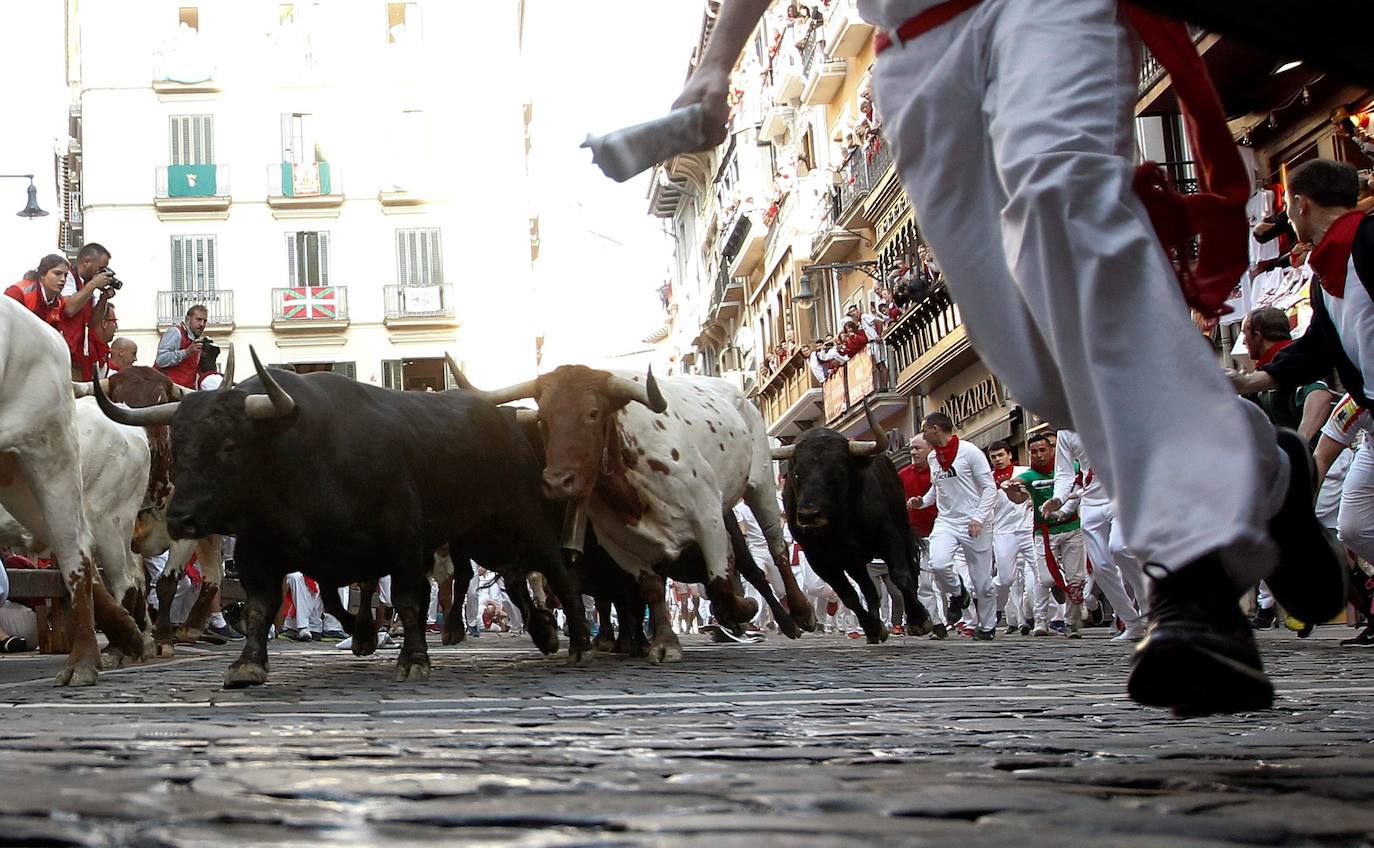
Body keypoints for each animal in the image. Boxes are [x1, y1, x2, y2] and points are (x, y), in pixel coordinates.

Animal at [95, 360, 590, 687]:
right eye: (178, 444)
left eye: (229, 446)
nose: (180, 518)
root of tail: (505, 417)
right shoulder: (267, 553)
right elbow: (268, 607)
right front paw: (250, 663)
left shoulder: (403, 545)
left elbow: (407, 600)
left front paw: (413, 658)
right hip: (480, 536)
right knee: (507, 577)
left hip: (523, 521)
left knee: (555, 572)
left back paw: (578, 640)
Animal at [456, 360, 813, 656]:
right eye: (543, 418)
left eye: (592, 413)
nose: (558, 482)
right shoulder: (619, 543)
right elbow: (650, 589)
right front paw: (665, 643)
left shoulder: (708, 517)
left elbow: (721, 584)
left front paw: (744, 610)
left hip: (760, 481)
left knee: (774, 549)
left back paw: (799, 614)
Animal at [785, 428, 934, 640]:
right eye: (797, 473)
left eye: (838, 472)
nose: (808, 515)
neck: (841, 522)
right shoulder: (820, 560)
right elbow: (848, 595)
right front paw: (872, 627)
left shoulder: (889, 536)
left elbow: (901, 576)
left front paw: (919, 619)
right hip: (854, 562)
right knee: (868, 589)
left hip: (902, 528)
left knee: (910, 570)